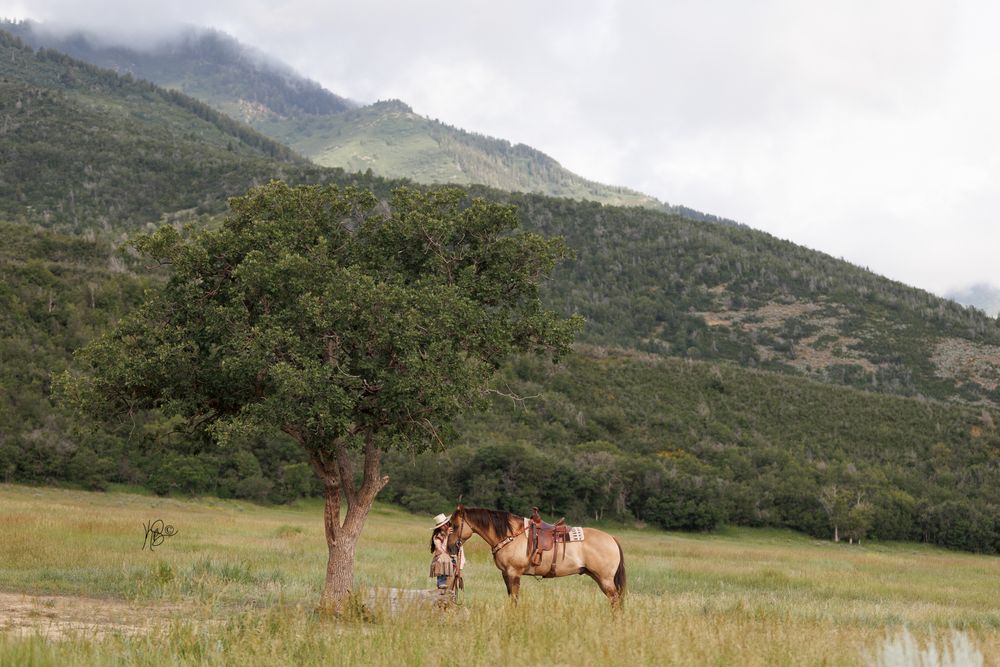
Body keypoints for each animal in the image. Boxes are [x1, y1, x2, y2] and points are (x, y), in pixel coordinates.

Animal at [447, 505, 626, 609]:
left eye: (454, 526)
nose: (450, 548)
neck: (511, 534)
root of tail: (612, 538)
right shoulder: (506, 574)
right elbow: (511, 597)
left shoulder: (513, 573)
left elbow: (514, 598)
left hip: (605, 580)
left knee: (615, 601)